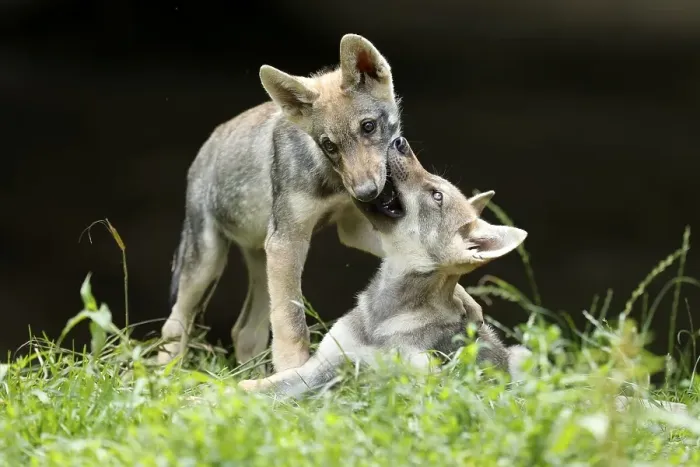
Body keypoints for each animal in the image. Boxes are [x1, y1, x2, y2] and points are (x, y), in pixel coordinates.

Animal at [159, 34, 476, 372]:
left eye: (368, 127)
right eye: (329, 145)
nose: (366, 193)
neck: (330, 179)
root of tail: (207, 145)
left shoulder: (350, 229)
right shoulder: (288, 242)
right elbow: (292, 326)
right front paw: (293, 372)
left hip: (261, 264)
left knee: (244, 332)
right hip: (208, 263)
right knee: (174, 327)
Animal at [238, 136, 532, 397]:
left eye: (437, 196)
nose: (400, 141)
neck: (382, 322)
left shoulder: (419, 379)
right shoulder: (320, 366)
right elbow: (254, 387)